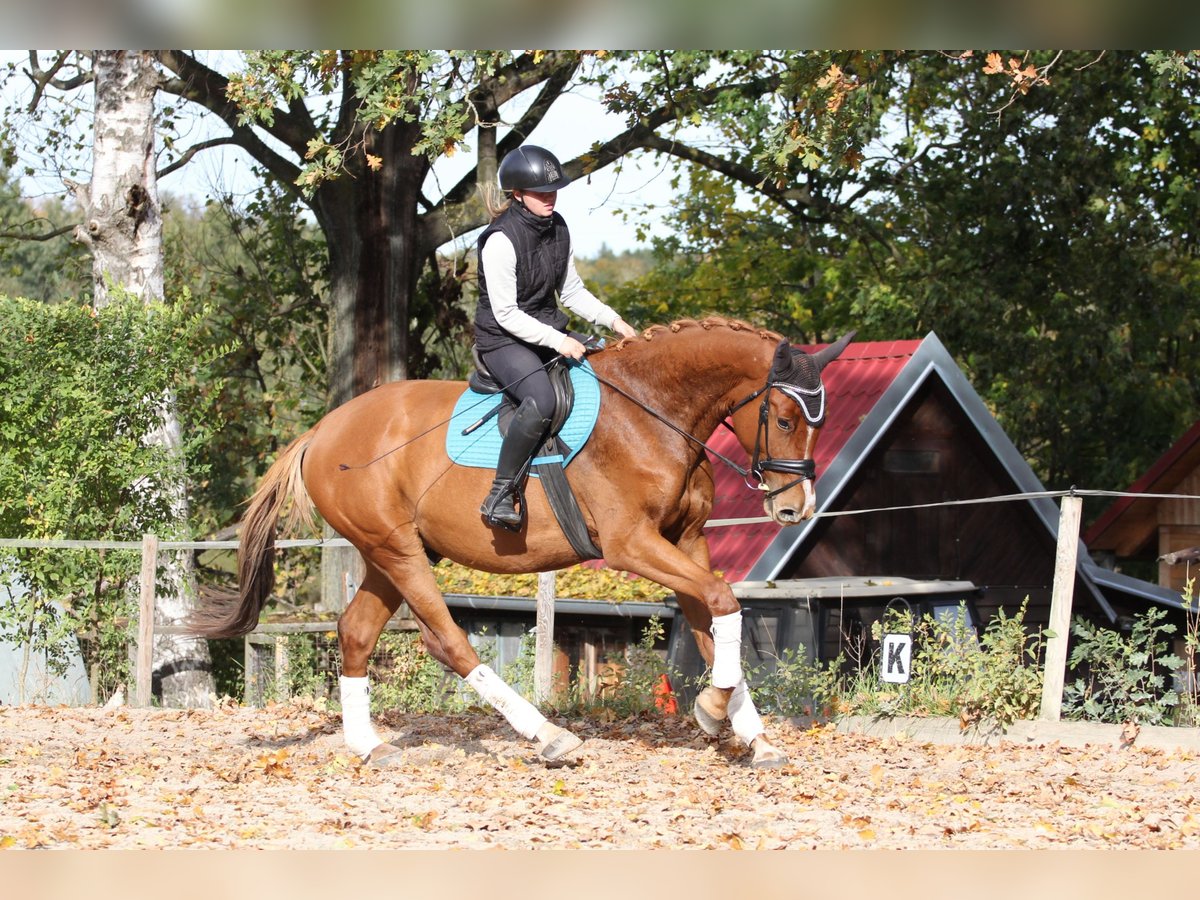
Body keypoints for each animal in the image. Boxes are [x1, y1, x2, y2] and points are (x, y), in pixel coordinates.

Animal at [189, 316, 853, 768]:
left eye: (818, 424)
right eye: (785, 419)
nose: (793, 508)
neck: (651, 413)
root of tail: (322, 432)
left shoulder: (685, 544)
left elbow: (713, 621)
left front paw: (749, 733)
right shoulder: (633, 545)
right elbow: (721, 602)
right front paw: (715, 713)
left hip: (389, 554)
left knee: (354, 632)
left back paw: (368, 745)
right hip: (398, 552)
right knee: (449, 640)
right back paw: (548, 735)